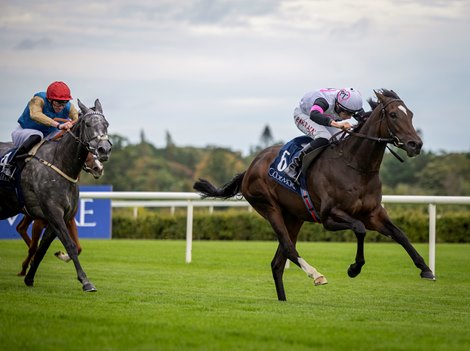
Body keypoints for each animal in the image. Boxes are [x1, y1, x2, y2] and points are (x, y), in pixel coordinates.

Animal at [0, 99, 111, 292]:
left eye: (106, 124)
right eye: (88, 124)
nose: (104, 149)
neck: (60, 163)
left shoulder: (60, 217)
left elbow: (42, 248)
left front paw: (29, 278)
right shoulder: (53, 212)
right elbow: (71, 245)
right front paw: (86, 281)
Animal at [194, 89, 434, 302]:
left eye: (410, 114)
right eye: (393, 115)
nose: (415, 144)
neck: (356, 166)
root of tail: (250, 167)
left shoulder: (373, 213)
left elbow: (400, 234)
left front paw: (426, 269)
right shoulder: (329, 217)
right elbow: (359, 229)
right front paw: (354, 268)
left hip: (294, 217)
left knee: (277, 262)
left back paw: (283, 300)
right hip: (269, 207)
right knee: (288, 248)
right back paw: (316, 275)